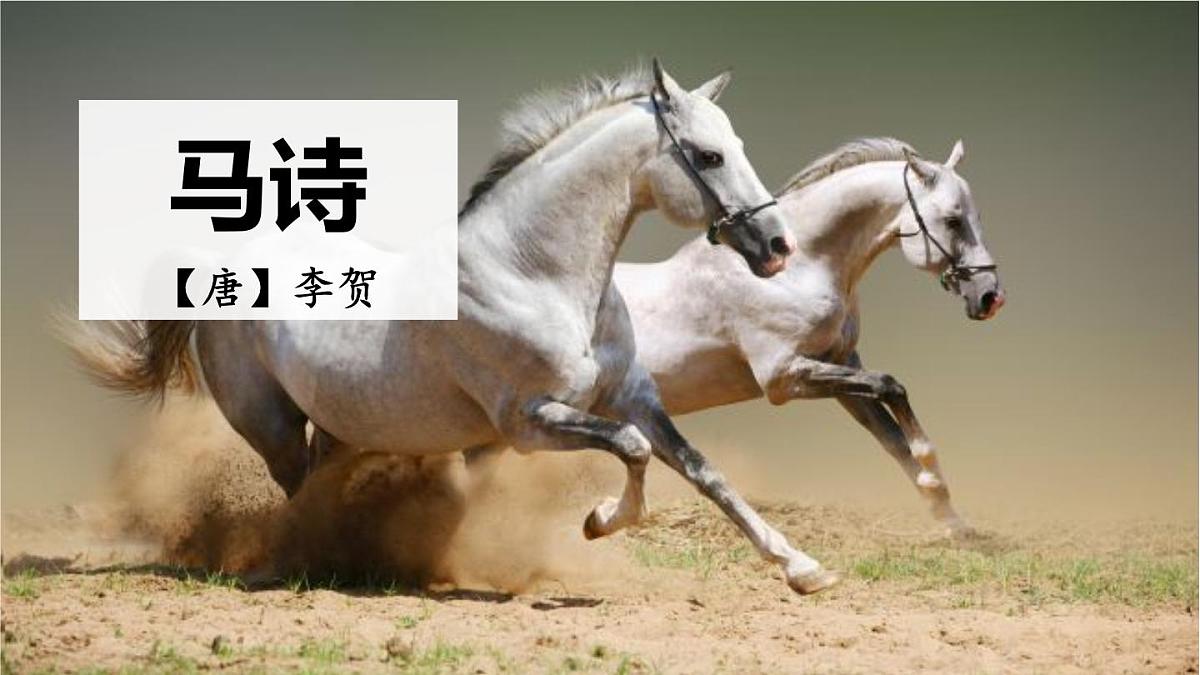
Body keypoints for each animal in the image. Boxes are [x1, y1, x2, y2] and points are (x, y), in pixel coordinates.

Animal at [72, 62, 845, 594]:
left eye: (735, 143)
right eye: (709, 155)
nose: (777, 246)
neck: (534, 271)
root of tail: (221, 268)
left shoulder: (631, 396)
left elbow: (702, 470)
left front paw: (802, 567)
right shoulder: (527, 422)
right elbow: (630, 451)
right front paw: (599, 521)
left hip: (342, 426)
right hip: (271, 425)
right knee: (297, 496)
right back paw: (317, 562)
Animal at [613, 138, 1005, 538]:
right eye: (953, 220)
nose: (990, 297)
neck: (797, 271)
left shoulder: (840, 365)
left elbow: (892, 437)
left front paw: (953, 521)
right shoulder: (783, 377)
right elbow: (891, 386)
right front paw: (930, 470)